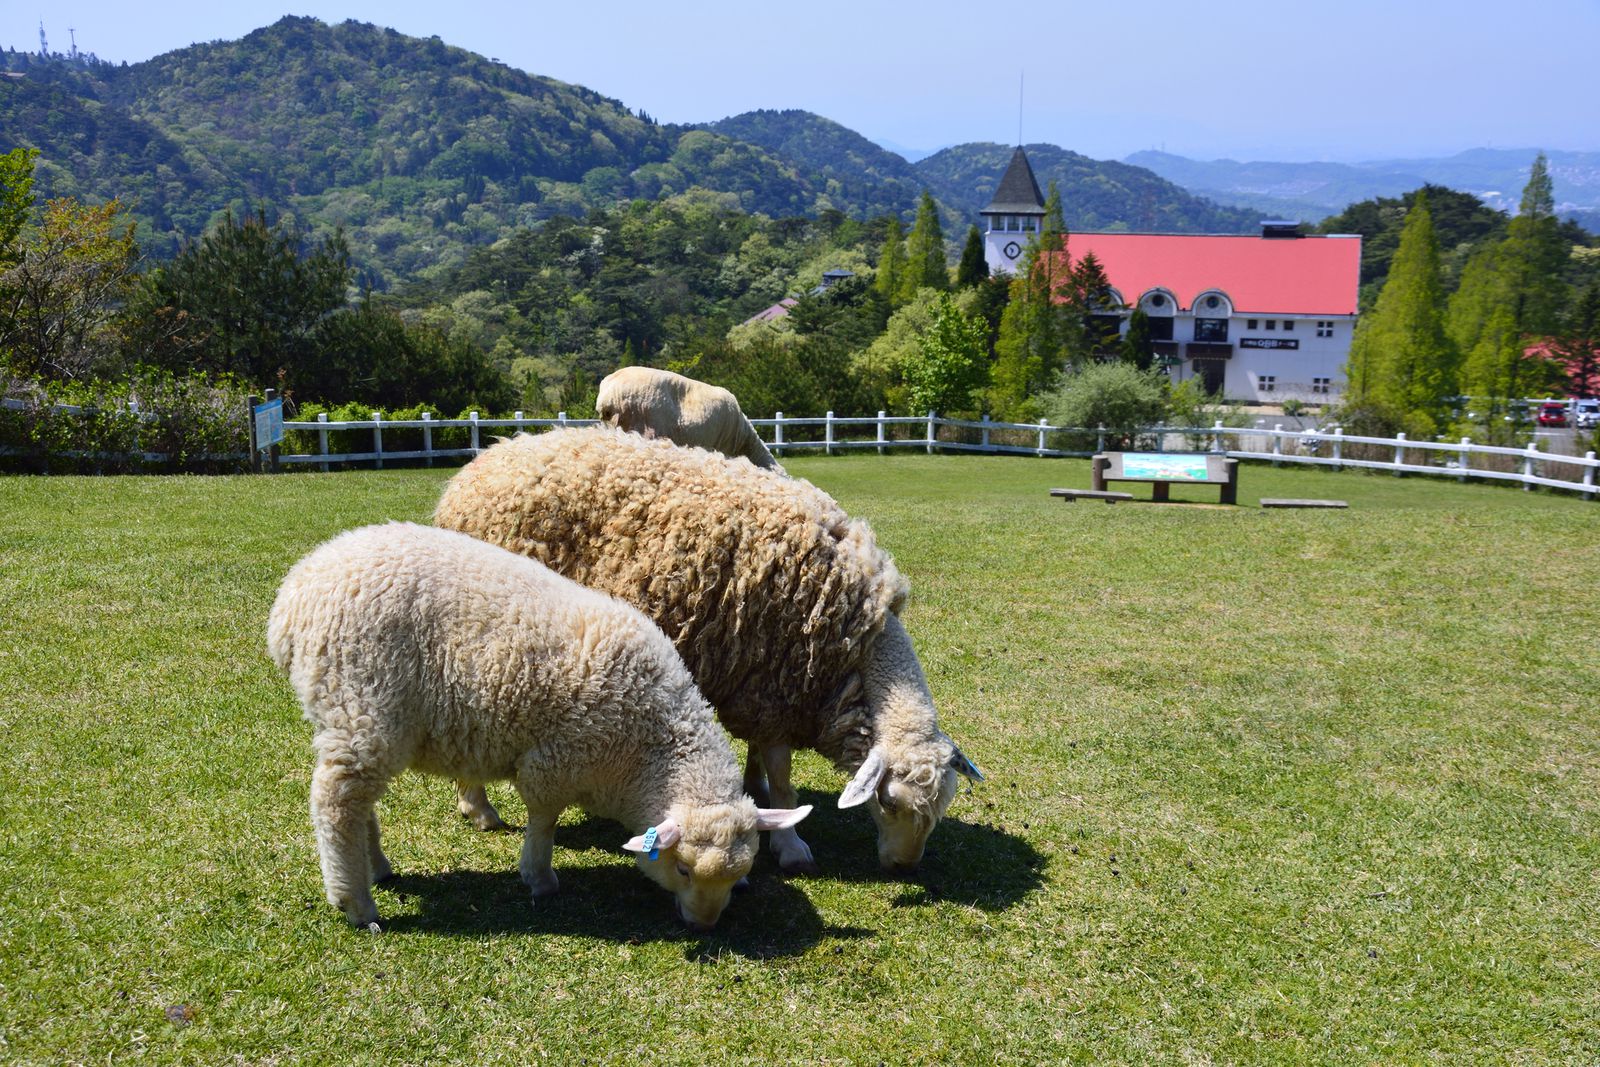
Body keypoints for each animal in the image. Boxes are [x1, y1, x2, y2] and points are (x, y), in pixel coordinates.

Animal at [268, 521, 812, 927]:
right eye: (681, 869)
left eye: (735, 876)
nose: (704, 925)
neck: (649, 746)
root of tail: (294, 594)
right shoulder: (555, 759)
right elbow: (544, 819)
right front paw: (539, 877)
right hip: (364, 703)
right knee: (337, 802)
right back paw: (356, 902)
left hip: (352, 716)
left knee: (358, 800)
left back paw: (377, 869)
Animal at [432, 428, 979, 876]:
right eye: (889, 804)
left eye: (940, 811)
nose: (904, 866)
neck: (854, 642)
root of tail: (482, 462)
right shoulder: (773, 685)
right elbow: (783, 776)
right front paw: (791, 844)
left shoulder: (768, 689)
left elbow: (762, 761)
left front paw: (757, 791)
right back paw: (479, 809)